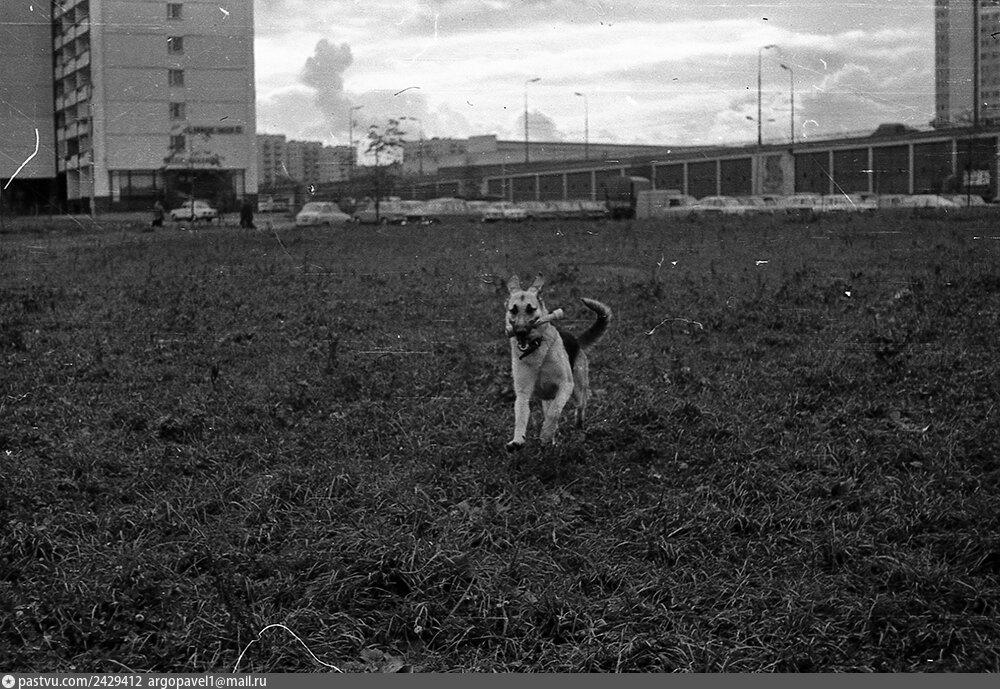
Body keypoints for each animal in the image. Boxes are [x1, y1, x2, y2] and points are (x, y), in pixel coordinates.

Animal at [504, 274, 612, 450]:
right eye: (513, 310)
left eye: (530, 309)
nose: (520, 332)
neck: (536, 348)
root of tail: (576, 340)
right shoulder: (523, 393)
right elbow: (521, 417)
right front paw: (517, 440)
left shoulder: (565, 385)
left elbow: (554, 413)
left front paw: (546, 434)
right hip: (548, 398)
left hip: (578, 391)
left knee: (579, 408)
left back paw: (578, 430)